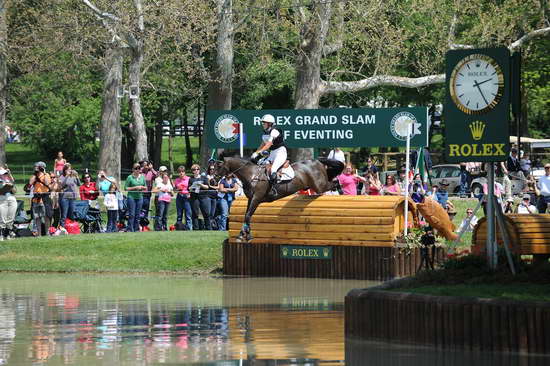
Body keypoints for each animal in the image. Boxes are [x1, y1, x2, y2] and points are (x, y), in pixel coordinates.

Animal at [215, 156, 344, 242]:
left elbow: (247, 215)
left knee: (335, 182)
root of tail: (317, 161)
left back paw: (342, 192)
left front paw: (246, 235)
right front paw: (243, 234)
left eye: (219, 166)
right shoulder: (251, 199)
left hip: (320, 186)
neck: (251, 175)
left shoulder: (256, 198)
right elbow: (247, 215)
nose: (214, 180)